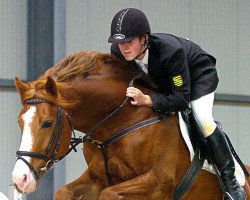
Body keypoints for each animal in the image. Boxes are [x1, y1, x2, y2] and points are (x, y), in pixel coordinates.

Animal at [12, 51, 250, 198]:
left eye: (47, 123)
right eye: (20, 123)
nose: (19, 178)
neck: (120, 121)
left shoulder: (157, 182)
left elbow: (109, 194)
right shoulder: (97, 178)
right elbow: (64, 192)